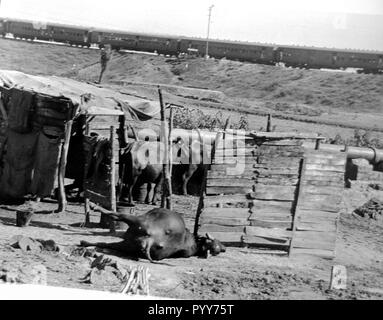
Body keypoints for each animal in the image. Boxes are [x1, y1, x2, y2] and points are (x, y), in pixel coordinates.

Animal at [80, 208, 225, 262]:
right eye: (217, 244)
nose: (223, 248)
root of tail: (151, 240)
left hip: (138, 221)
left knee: (116, 214)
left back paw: (93, 207)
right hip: (127, 243)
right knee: (103, 243)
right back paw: (84, 242)